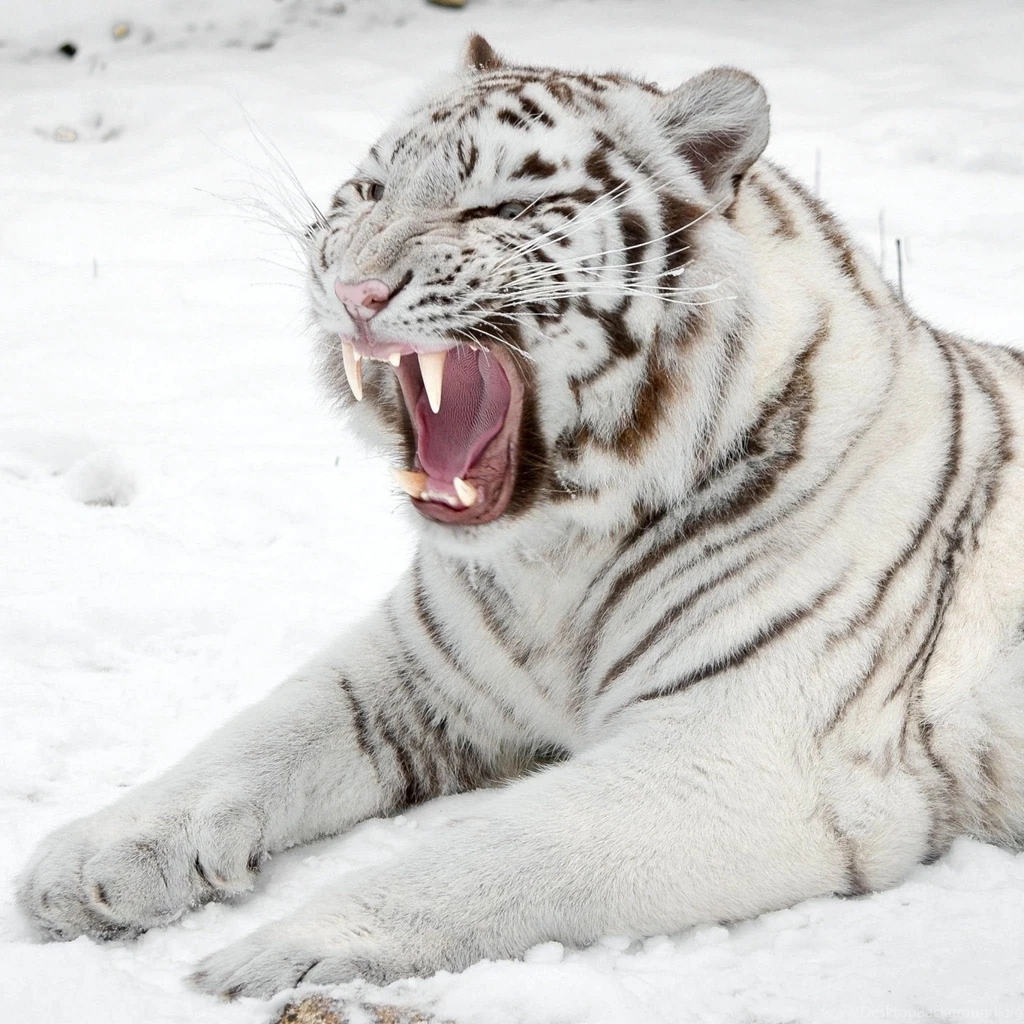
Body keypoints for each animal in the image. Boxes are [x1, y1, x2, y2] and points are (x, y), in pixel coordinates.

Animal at [17, 34, 1024, 1000]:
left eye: (495, 209)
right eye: (368, 192)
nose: (353, 291)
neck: (557, 558)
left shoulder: (744, 750)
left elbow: (492, 851)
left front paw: (284, 950)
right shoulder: (414, 670)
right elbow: (256, 736)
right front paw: (89, 861)